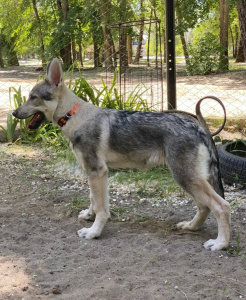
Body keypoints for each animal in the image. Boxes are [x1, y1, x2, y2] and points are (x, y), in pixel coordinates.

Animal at [12, 58, 232, 251]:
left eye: (33, 97)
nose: (14, 113)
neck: (74, 116)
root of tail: (199, 127)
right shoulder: (94, 172)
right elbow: (94, 200)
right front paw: (89, 216)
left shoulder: (97, 171)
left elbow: (102, 209)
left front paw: (93, 232)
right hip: (189, 179)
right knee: (204, 207)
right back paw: (190, 227)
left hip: (185, 178)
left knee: (221, 206)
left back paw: (220, 244)